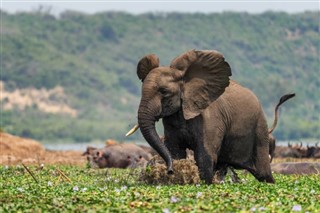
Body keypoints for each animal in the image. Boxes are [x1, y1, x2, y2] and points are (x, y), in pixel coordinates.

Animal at [134, 49, 294, 184]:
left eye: (164, 92)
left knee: (263, 172)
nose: (169, 171)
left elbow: (204, 155)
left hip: (259, 128)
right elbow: (175, 151)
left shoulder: (211, 118)